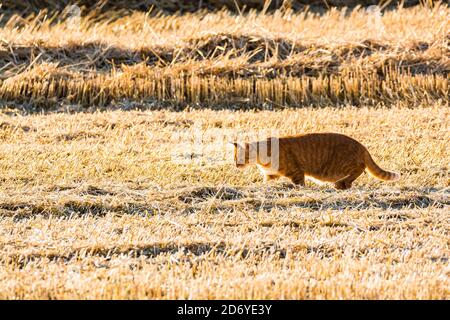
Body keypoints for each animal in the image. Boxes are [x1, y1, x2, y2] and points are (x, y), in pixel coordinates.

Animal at [232, 131, 400, 189]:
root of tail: (362, 145)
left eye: (239, 157)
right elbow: (267, 181)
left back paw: (342, 184)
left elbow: (300, 184)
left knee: (359, 169)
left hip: (342, 165)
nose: (235, 165)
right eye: (234, 158)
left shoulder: (296, 172)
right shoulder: (271, 175)